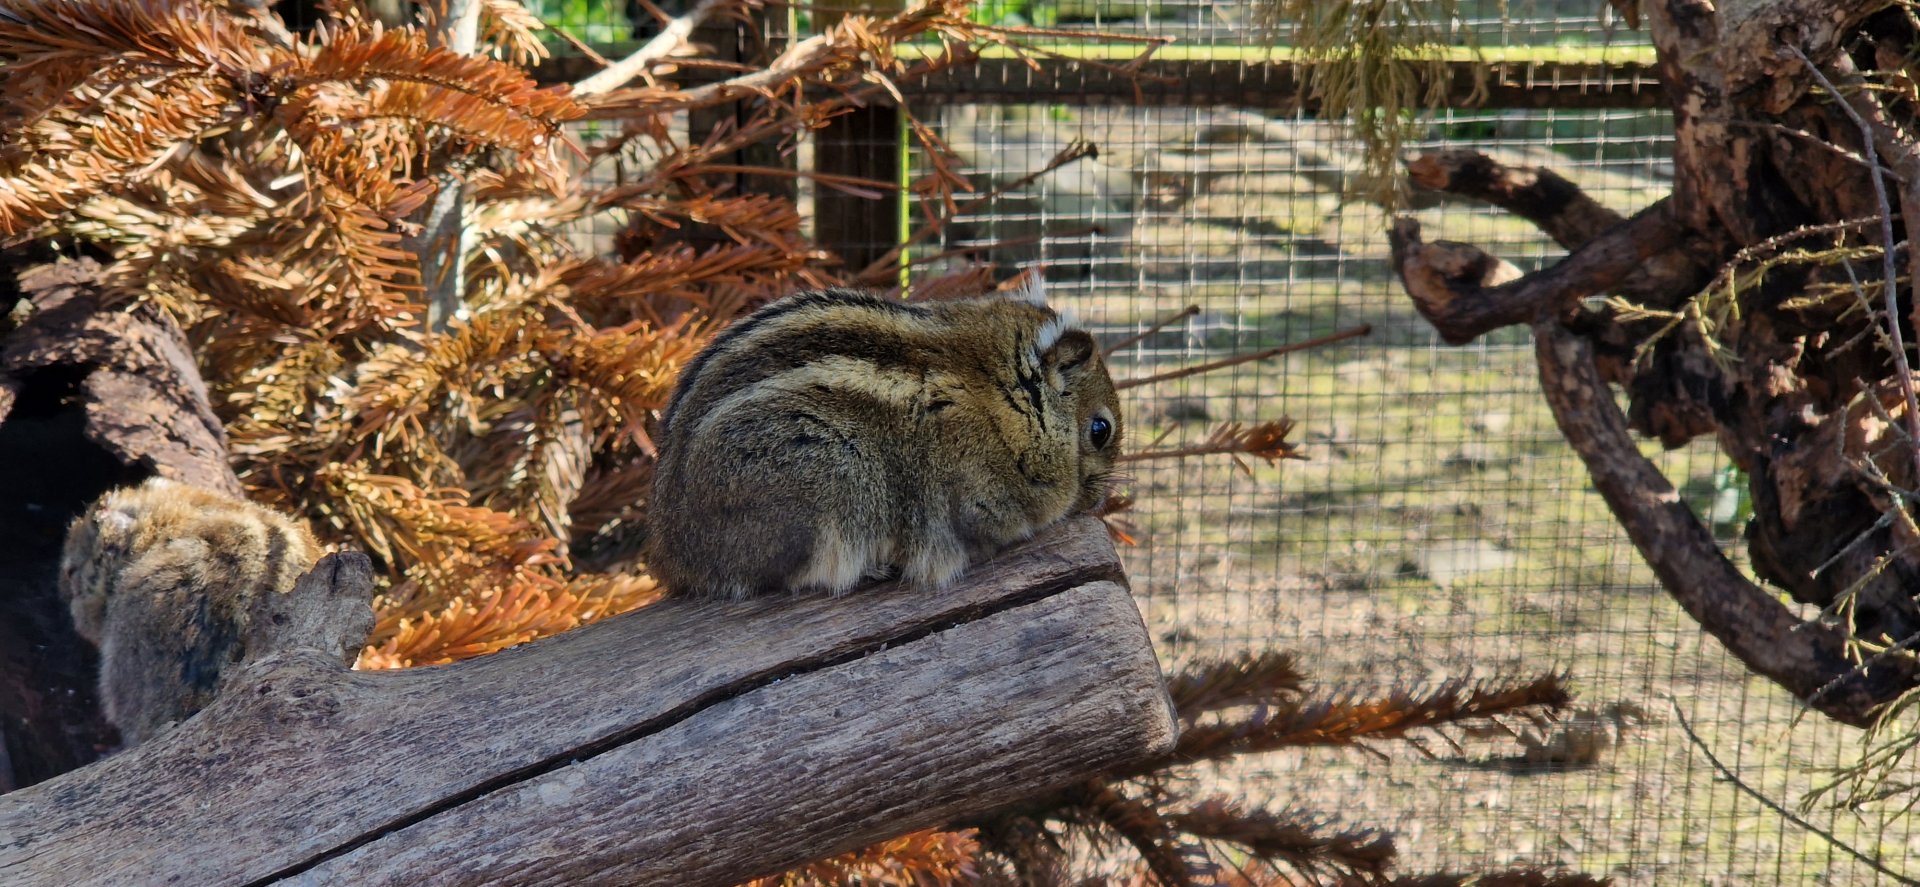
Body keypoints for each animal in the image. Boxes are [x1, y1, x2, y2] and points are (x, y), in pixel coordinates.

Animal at [646, 281, 1123, 600]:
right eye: (1100, 430)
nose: (1099, 502)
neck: (995, 393)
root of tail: (671, 550)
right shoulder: (979, 497)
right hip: (828, 477)